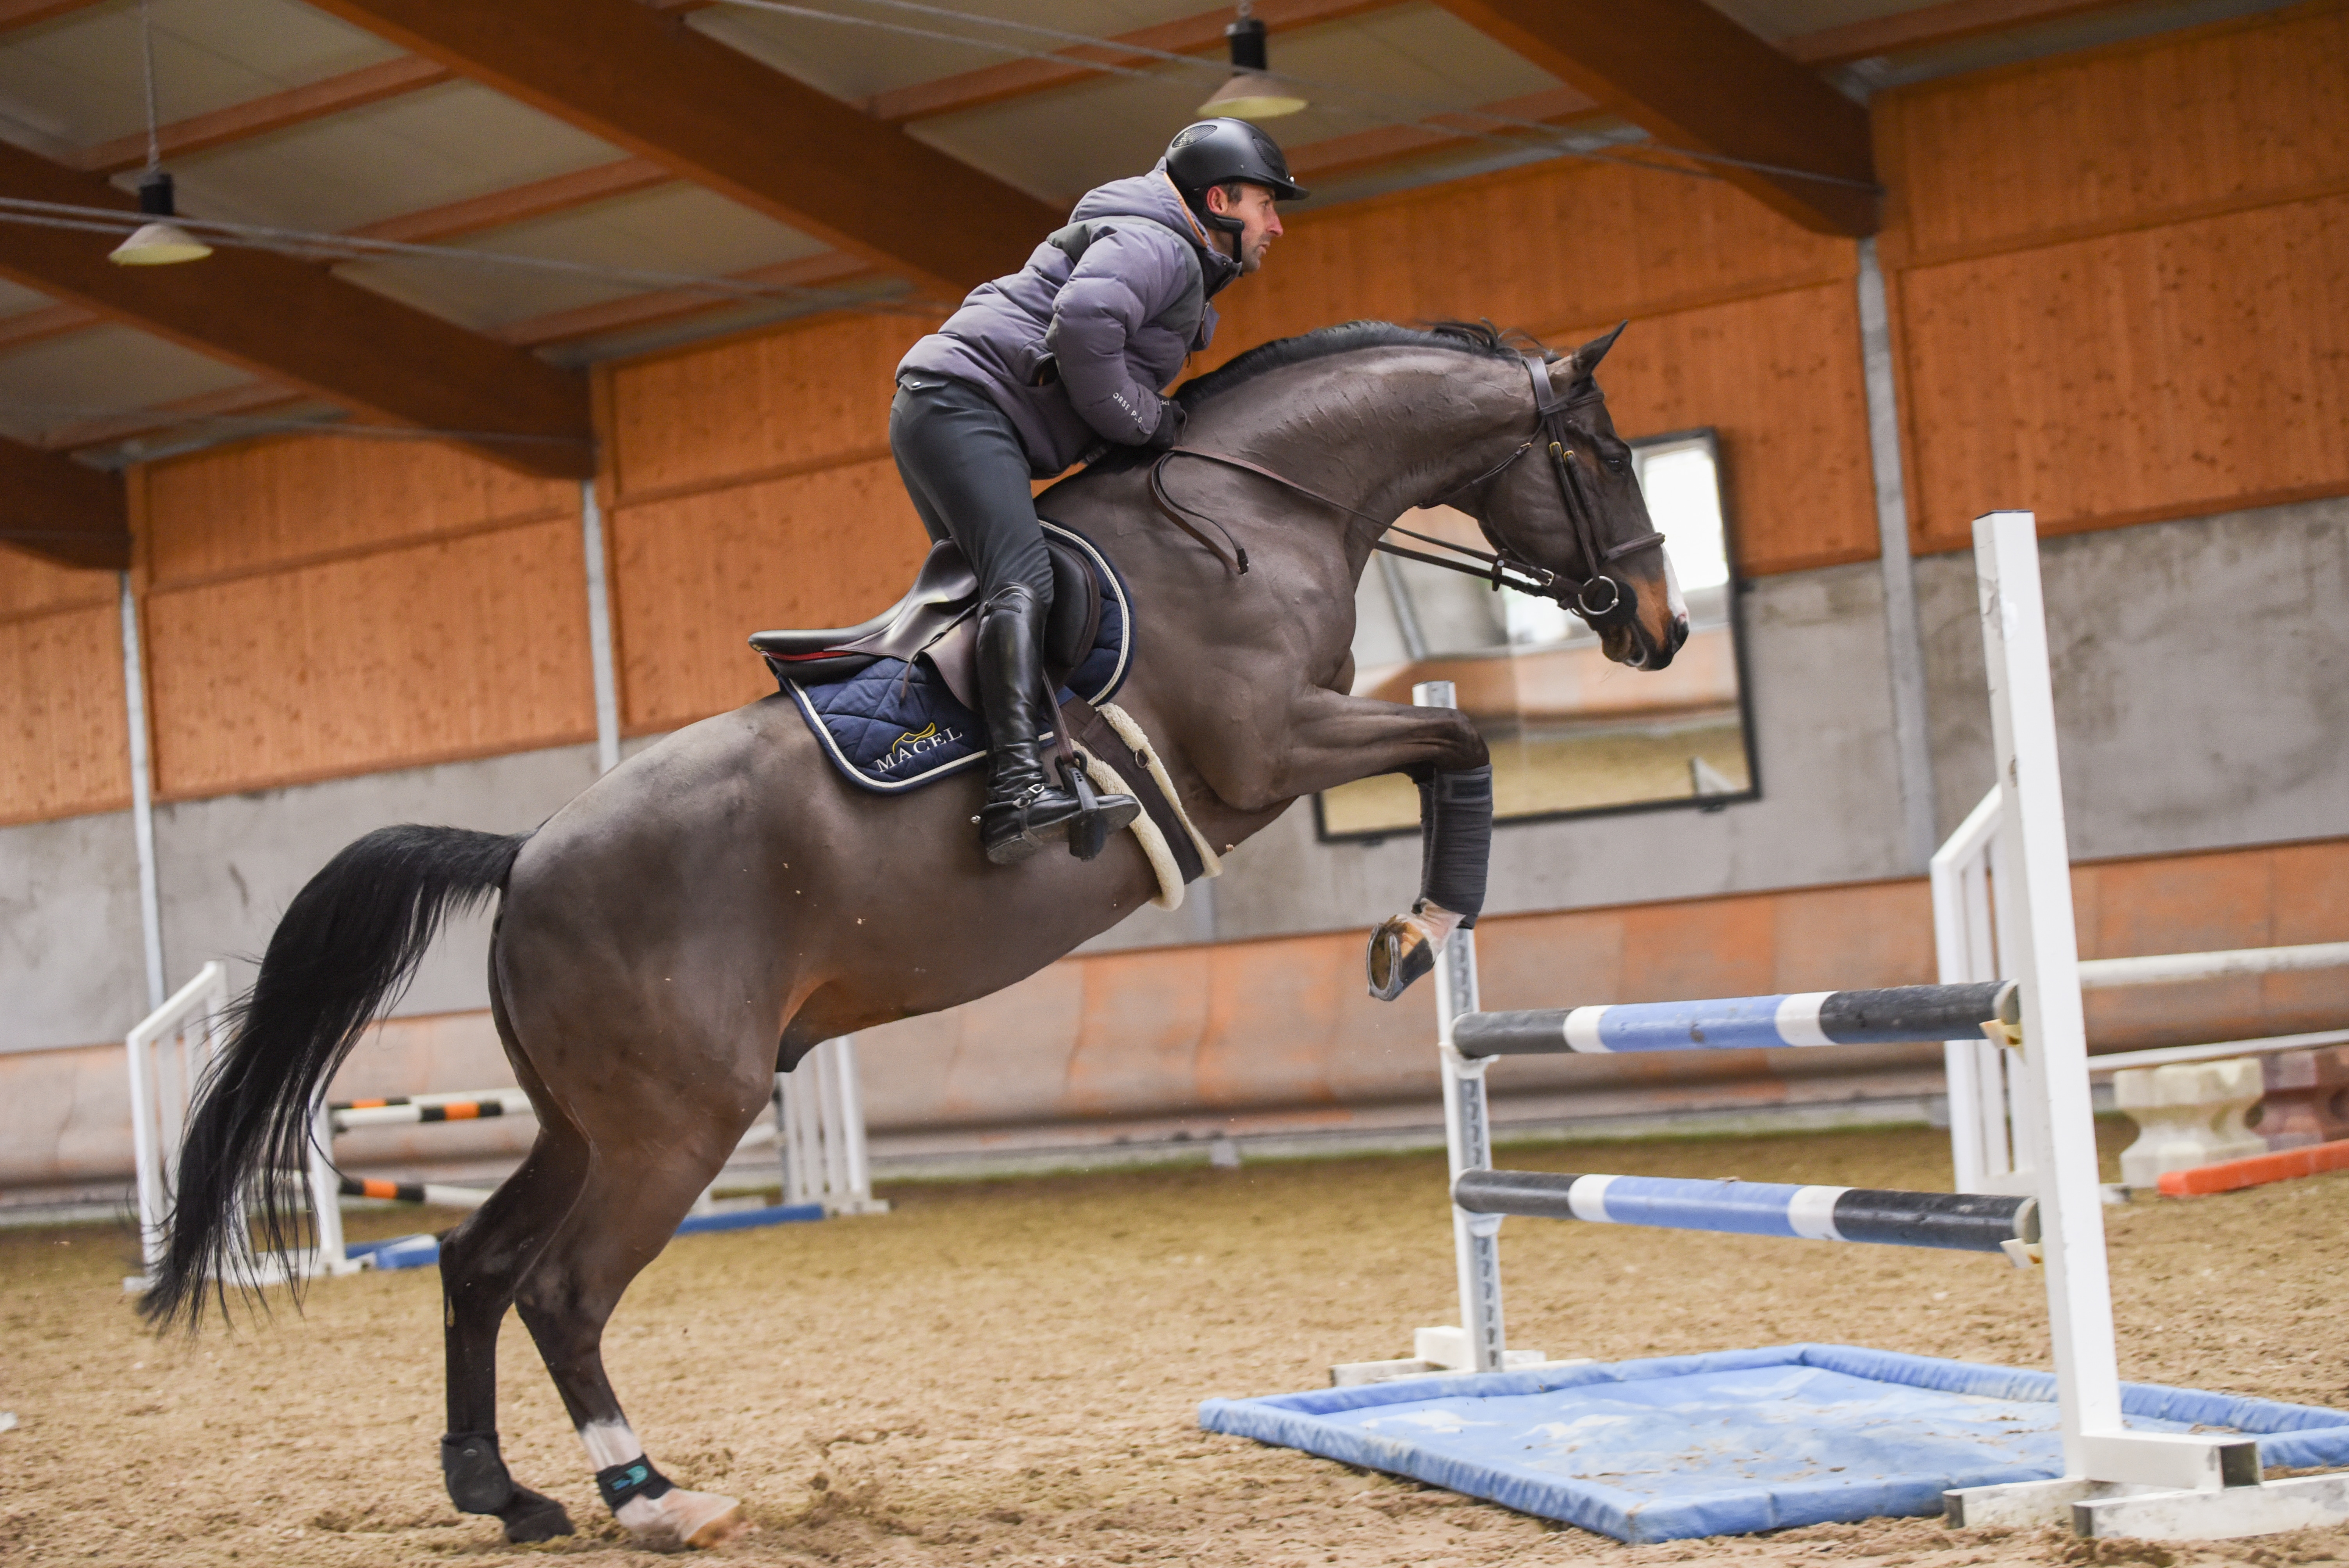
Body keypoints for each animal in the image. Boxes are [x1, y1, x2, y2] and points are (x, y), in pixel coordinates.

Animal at [142, 314, 1691, 1539]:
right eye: (1608, 452)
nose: (1660, 627)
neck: (1256, 509)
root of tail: (522, 857)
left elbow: (1450, 748)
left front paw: (1415, 928)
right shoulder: (1271, 749)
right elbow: (1462, 745)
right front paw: (1419, 925)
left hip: (589, 1121)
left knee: (475, 1264)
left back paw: (502, 1492)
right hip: (674, 1125)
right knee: (564, 1291)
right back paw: (647, 1497)